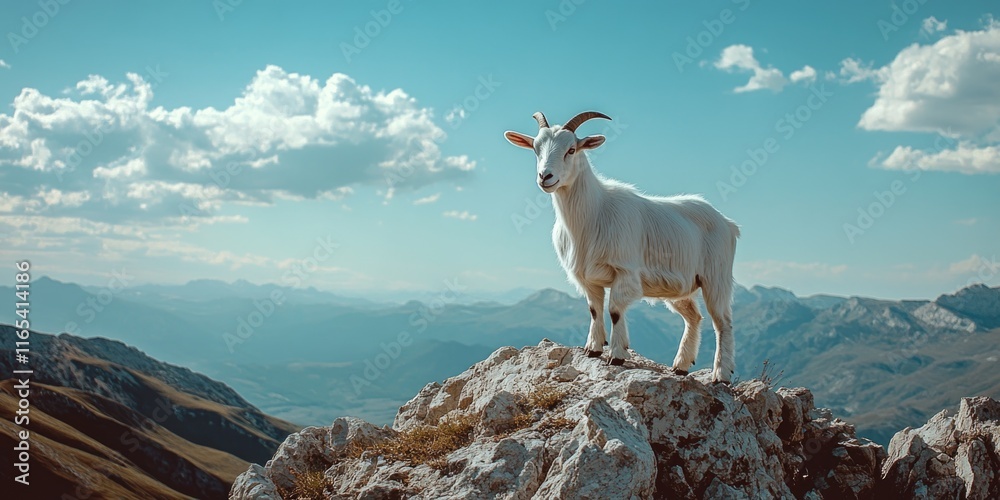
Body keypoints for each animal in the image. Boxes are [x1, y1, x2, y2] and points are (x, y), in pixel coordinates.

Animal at [504, 110, 740, 382]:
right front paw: (593, 349)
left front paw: (616, 355)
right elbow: (594, 310)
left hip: (716, 277)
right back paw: (681, 365)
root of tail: (728, 224)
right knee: (694, 316)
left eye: (571, 150)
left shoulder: (624, 271)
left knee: (723, 322)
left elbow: (615, 310)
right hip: (681, 285)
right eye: (535, 148)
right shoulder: (587, 278)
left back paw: (721, 373)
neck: (593, 213)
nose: (545, 177)